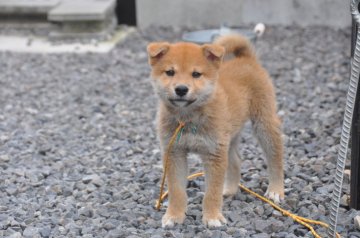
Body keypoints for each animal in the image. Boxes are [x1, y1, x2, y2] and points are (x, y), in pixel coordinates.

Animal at [146, 33, 284, 227]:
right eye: (170, 72)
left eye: (196, 74)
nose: (181, 89)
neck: (188, 119)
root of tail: (246, 59)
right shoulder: (174, 153)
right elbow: (176, 191)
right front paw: (174, 215)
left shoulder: (214, 153)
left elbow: (211, 192)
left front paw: (212, 217)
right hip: (229, 135)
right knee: (236, 160)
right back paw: (230, 189)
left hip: (263, 123)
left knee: (275, 157)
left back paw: (276, 190)